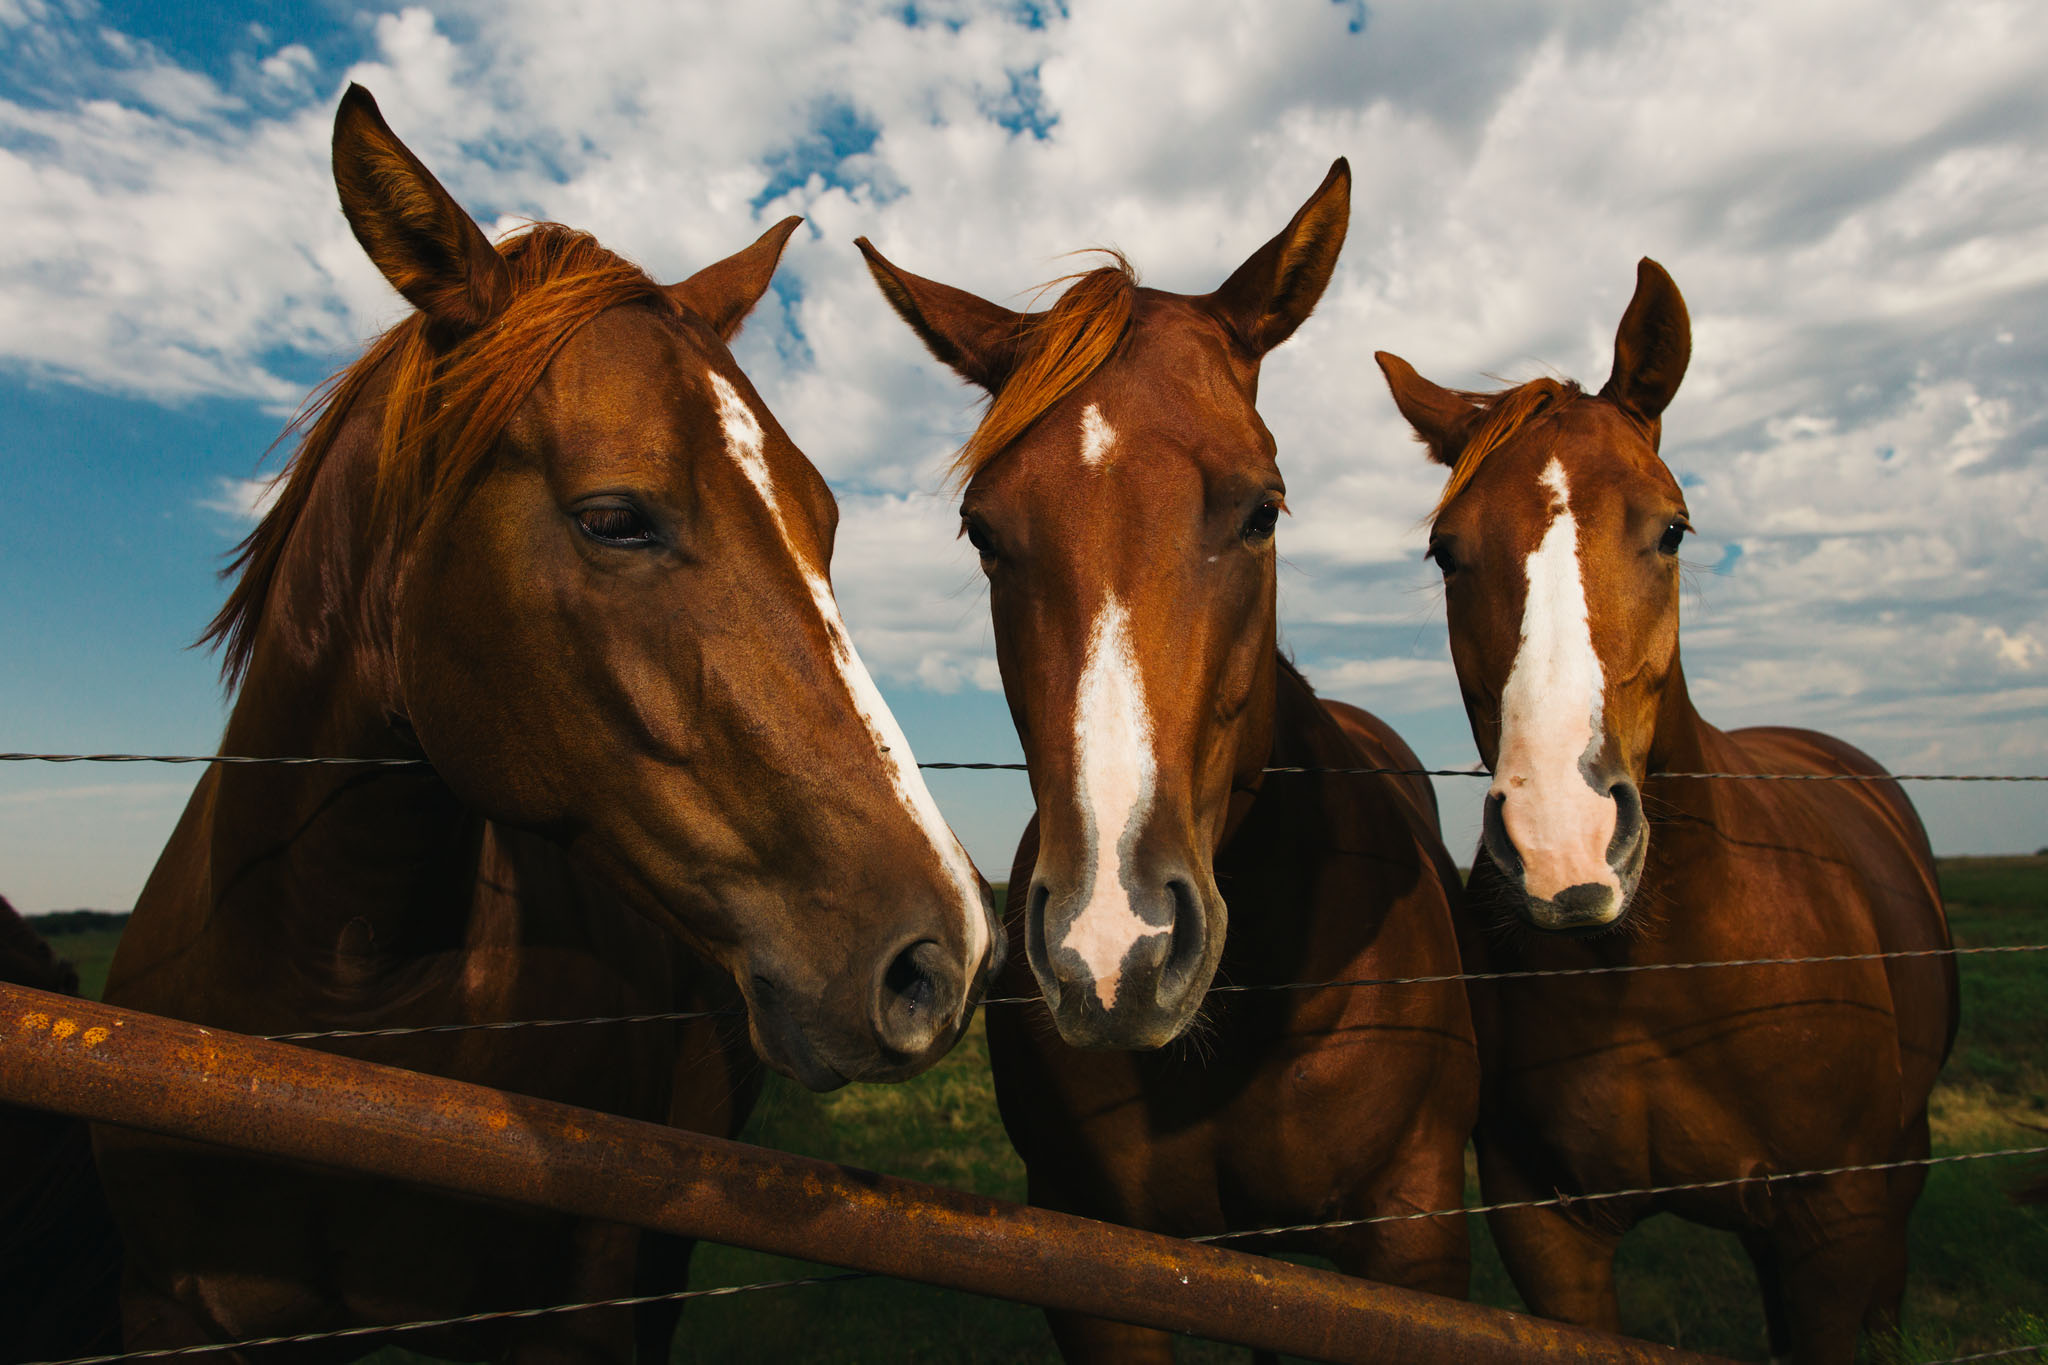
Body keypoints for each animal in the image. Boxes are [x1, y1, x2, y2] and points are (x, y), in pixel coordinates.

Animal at [1376, 258, 1958, 1364]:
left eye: (1670, 529)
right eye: (1444, 553)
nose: (1564, 845)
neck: (1660, 973)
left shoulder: (1837, 1223)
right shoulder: (1546, 1227)